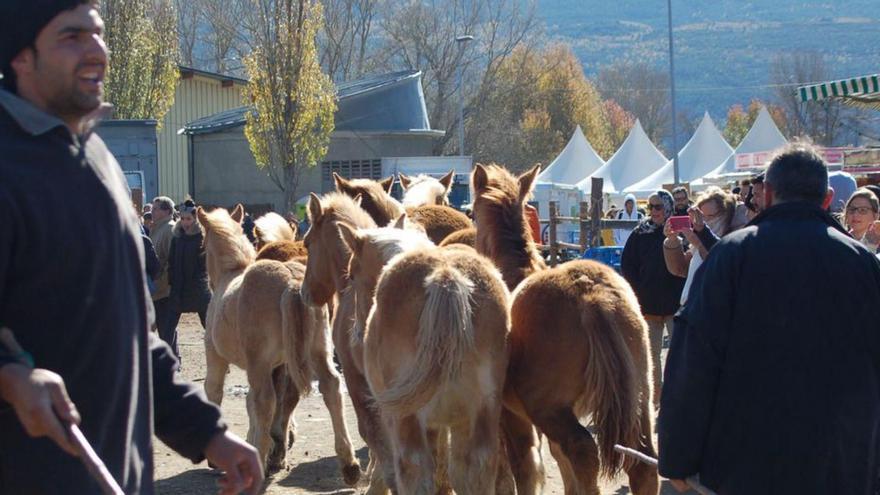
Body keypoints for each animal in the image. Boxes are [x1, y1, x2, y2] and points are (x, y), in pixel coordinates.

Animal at [199, 204, 360, 484]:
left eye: (202, 245)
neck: (231, 276)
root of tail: (292, 283)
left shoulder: (217, 356)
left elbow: (216, 391)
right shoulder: (280, 364)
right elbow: (257, 404)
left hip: (259, 363)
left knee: (265, 400)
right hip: (318, 352)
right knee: (331, 387)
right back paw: (349, 464)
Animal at [338, 222, 508, 495]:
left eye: (352, 274)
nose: (356, 335)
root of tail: (445, 276)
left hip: (407, 418)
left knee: (413, 468)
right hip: (480, 413)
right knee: (475, 468)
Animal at [470, 166, 656, 495]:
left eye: (473, 214)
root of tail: (590, 293)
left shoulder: (510, 415)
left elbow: (522, 469)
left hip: (549, 409)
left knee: (583, 451)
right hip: (640, 398)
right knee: (642, 463)